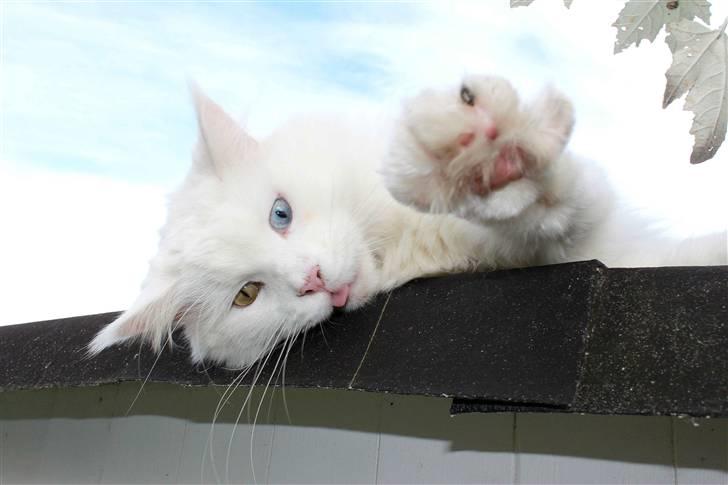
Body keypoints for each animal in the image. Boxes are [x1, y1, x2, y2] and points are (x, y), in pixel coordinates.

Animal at [88, 73, 724, 364]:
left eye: (279, 214)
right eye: (247, 295)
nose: (312, 280)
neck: (397, 247)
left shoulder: (582, 226)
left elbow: (548, 199)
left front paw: (484, 154)